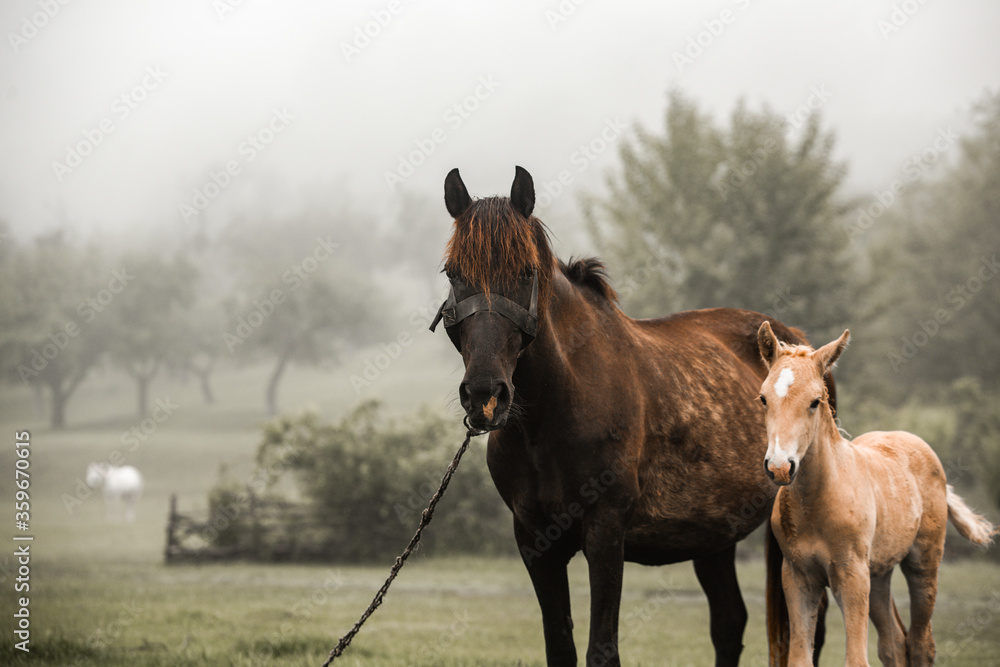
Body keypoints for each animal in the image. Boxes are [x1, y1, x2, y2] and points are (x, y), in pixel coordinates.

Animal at [430, 165, 833, 666]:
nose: (485, 395)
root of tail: (799, 343)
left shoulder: (606, 533)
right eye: (453, 274)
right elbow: (560, 647)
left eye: (525, 272)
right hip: (714, 537)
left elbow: (602, 650)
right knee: (729, 622)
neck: (554, 413)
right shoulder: (535, 541)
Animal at [756, 322, 997, 666]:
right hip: (879, 574)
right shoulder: (798, 577)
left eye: (815, 401)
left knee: (921, 643)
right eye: (763, 398)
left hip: (923, 564)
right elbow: (800, 658)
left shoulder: (852, 575)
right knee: (894, 643)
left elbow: (857, 659)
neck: (818, 501)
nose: (779, 467)